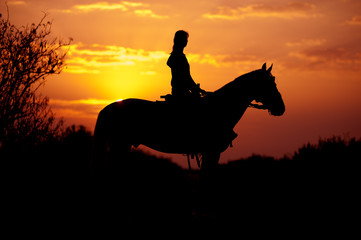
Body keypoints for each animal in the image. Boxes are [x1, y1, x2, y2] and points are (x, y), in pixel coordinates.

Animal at [92, 62, 284, 173]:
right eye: (270, 83)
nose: (281, 108)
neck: (219, 107)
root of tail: (106, 109)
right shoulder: (211, 152)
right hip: (119, 145)